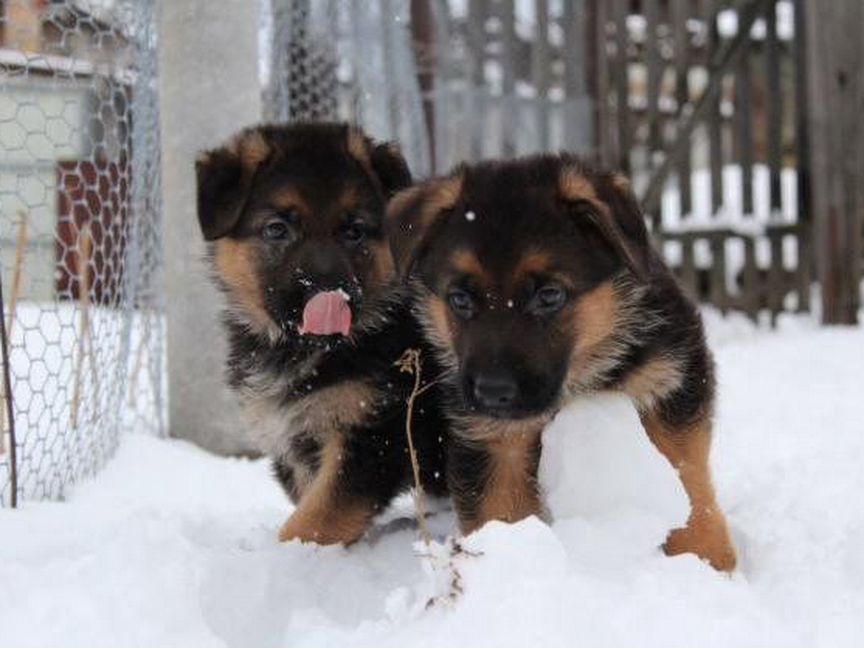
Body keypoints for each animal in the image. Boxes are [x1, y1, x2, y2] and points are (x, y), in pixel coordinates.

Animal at [390, 154, 736, 568]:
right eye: (459, 299)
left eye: (549, 295)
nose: (492, 392)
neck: (583, 372)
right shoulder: (492, 441)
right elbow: (501, 509)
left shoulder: (671, 375)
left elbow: (683, 468)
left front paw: (705, 557)